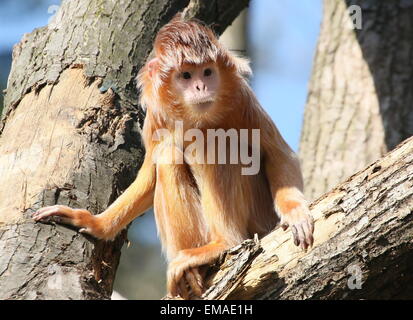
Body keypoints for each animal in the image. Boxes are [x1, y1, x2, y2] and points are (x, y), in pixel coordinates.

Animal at [33, 15, 314, 300]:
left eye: (207, 72)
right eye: (186, 75)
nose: (201, 86)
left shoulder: (241, 99)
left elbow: (278, 154)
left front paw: (295, 213)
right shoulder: (157, 115)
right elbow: (149, 176)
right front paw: (95, 223)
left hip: (259, 215)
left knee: (212, 143)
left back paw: (225, 242)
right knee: (168, 154)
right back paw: (195, 269)